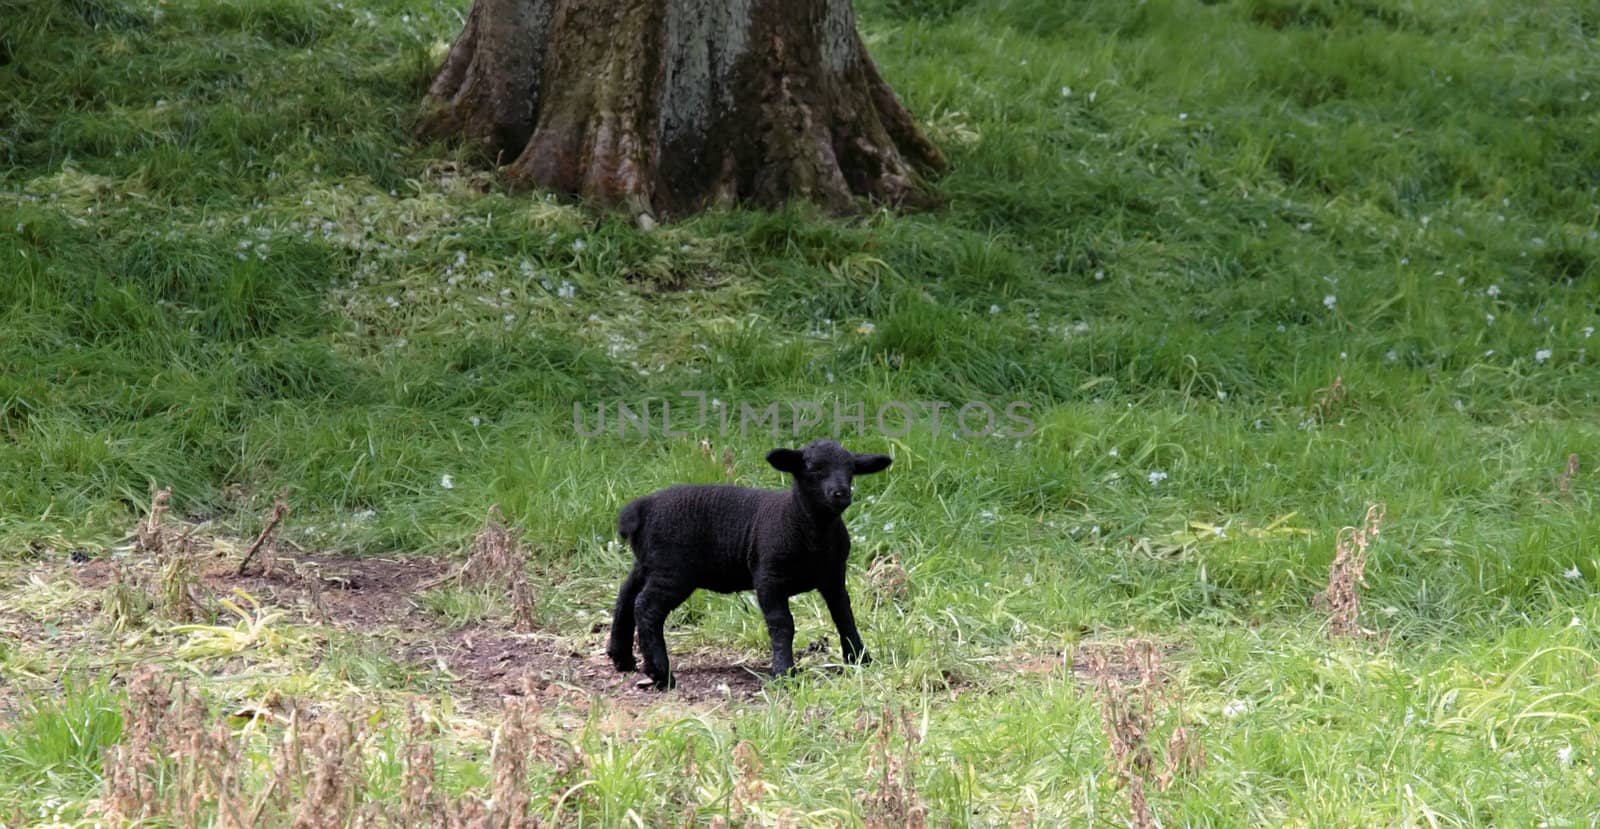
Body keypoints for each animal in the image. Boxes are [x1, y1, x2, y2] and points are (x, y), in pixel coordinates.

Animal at [604, 441, 896, 688]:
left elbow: (844, 616)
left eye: (851, 470)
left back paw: (622, 657)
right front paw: (784, 672)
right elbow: (783, 624)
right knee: (646, 607)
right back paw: (660, 673)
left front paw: (859, 659)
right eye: (814, 469)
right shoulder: (768, 578)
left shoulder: (833, 576)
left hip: (649, 563)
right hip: (673, 570)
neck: (804, 523)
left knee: (626, 595)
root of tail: (641, 507)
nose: (841, 494)